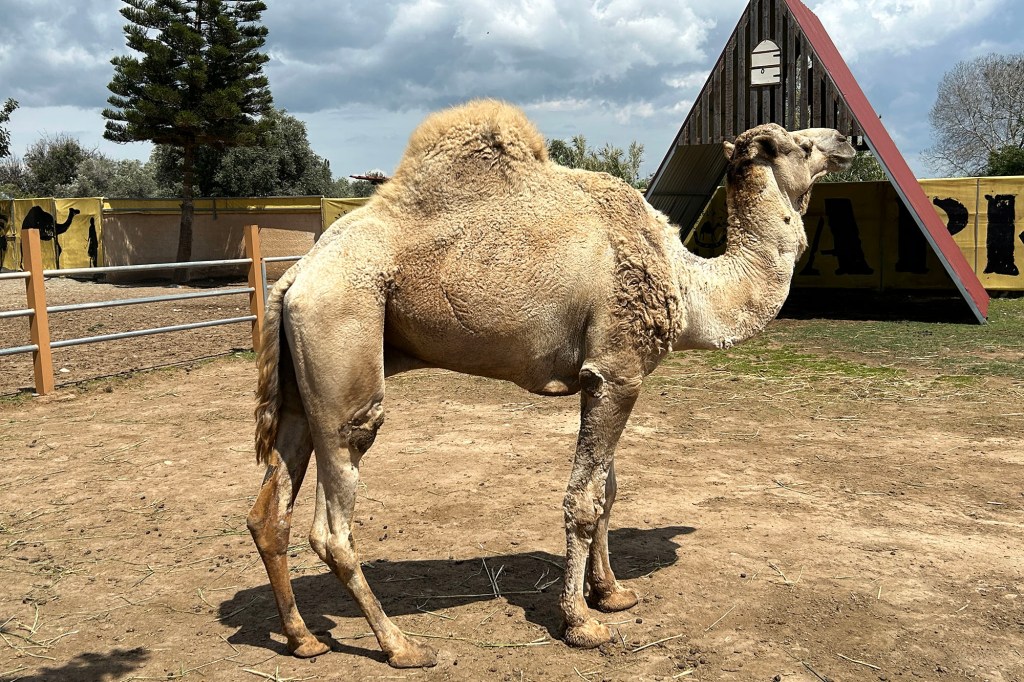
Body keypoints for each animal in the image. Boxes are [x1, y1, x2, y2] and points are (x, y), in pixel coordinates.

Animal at [246, 100, 854, 668]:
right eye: (798, 144)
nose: (847, 139)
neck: (689, 283)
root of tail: (294, 275)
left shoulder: (602, 379)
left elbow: (607, 491)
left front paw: (611, 593)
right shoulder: (617, 370)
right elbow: (584, 500)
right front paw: (581, 623)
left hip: (301, 387)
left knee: (269, 512)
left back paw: (302, 639)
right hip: (343, 348)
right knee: (333, 522)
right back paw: (401, 645)